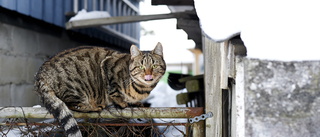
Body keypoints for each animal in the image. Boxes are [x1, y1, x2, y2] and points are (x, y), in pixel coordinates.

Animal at [34, 42, 166, 136]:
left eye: (154, 66)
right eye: (141, 66)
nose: (148, 75)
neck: (142, 89)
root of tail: (40, 74)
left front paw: (135, 103)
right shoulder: (108, 66)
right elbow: (114, 91)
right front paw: (122, 102)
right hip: (75, 89)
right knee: (72, 105)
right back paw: (94, 106)